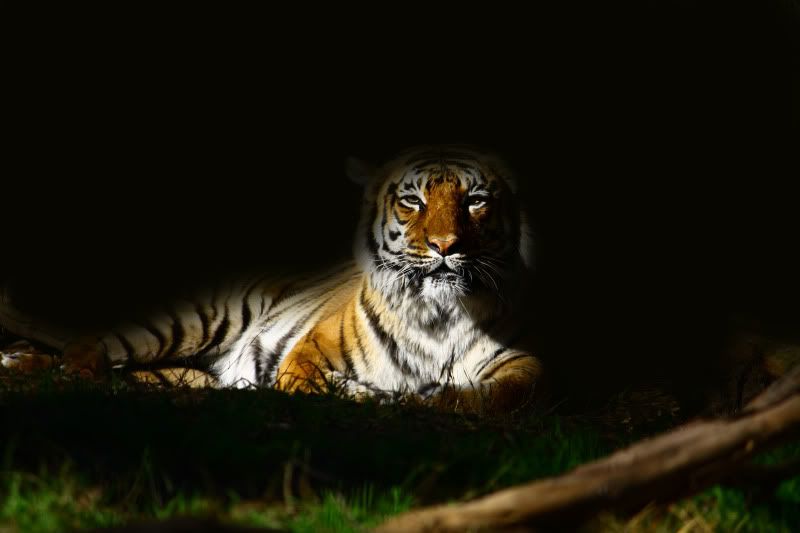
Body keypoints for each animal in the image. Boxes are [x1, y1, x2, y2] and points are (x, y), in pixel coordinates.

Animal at [0, 145, 545, 413]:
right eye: (413, 201)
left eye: (476, 200)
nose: (446, 246)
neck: (438, 314)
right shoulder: (308, 355)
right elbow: (324, 385)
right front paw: (384, 394)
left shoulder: (524, 363)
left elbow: (495, 396)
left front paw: (430, 395)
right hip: (187, 321)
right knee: (87, 348)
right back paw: (33, 364)